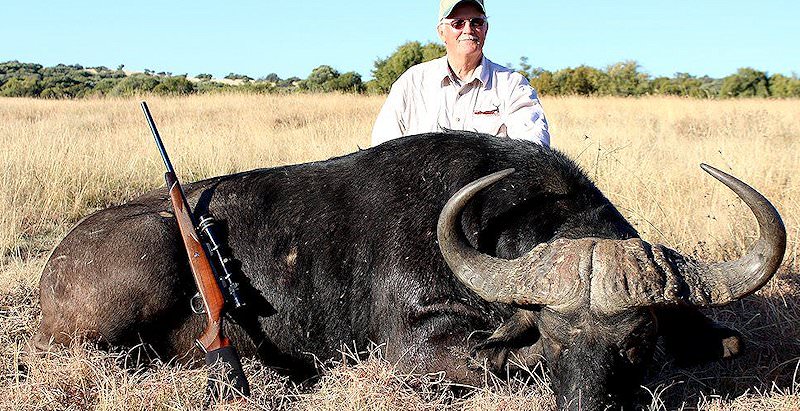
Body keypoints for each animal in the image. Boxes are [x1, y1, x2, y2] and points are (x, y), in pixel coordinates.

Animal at [34, 134, 784, 410]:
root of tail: (55, 264)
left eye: (638, 339)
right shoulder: (414, 350)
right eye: (554, 337)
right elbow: (501, 364)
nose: (584, 403)